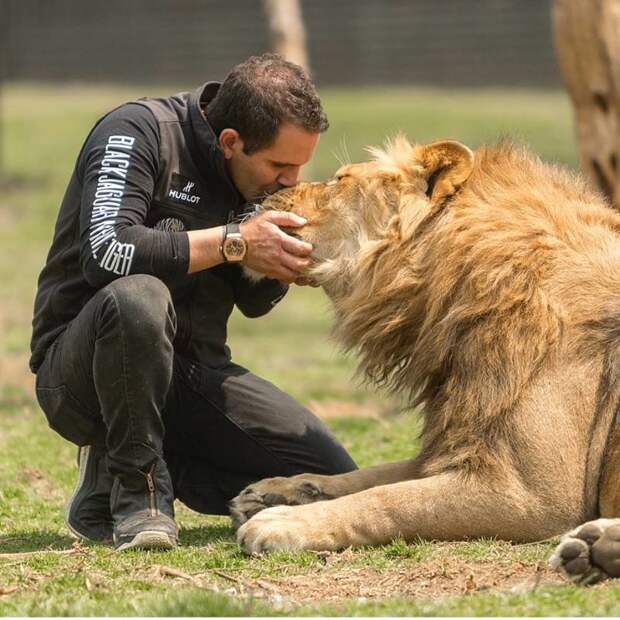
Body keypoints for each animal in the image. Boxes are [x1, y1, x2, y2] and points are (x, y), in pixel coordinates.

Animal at [228, 137, 620, 588]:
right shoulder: (454, 442)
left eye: (340, 179)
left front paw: (284, 522)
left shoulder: (533, 495)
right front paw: (280, 490)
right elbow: (371, 476)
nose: (264, 194)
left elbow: (389, 499)